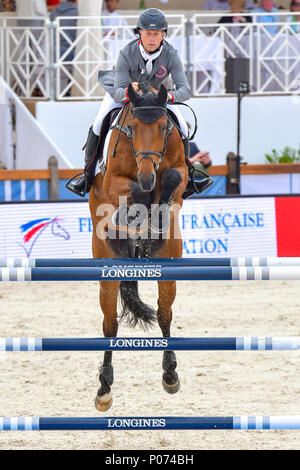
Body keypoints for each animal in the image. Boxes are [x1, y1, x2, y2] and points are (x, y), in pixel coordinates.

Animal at [88, 85, 188, 412]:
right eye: (131, 127)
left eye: (163, 127)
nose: (147, 176)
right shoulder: (114, 181)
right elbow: (131, 190)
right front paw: (140, 207)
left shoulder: (178, 171)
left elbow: (173, 178)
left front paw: (156, 211)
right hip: (108, 268)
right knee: (109, 325)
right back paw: (104, 389)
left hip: (168, 266)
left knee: (164, 314)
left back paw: (170, 374)